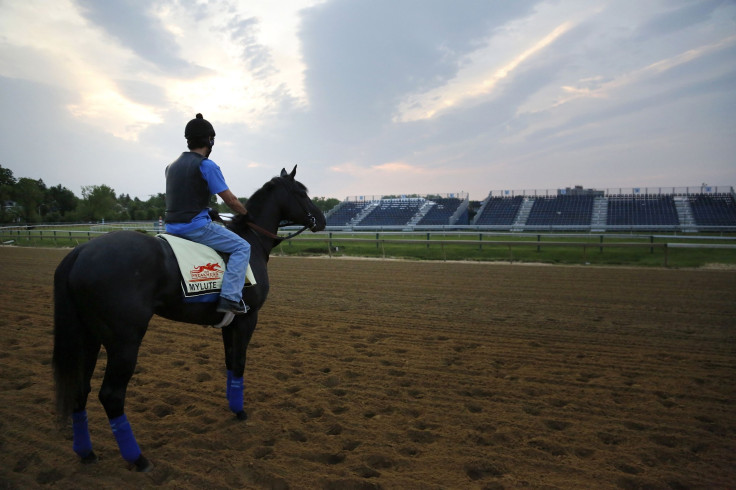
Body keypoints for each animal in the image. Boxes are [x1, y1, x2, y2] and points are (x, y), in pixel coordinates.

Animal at [51, 167, 324, 472]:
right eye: (301, 192)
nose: (322, 219)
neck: (250, 240)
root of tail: (80, 252)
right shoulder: (247, 319)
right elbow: (240, 363)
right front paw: (241, 411)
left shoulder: (230, 323)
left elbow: (230, 362)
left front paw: (233, 407)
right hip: (124, 342)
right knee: (111, 395)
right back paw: (138, 458)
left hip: (87, 338)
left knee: (80, 388)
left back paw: (86, 452)